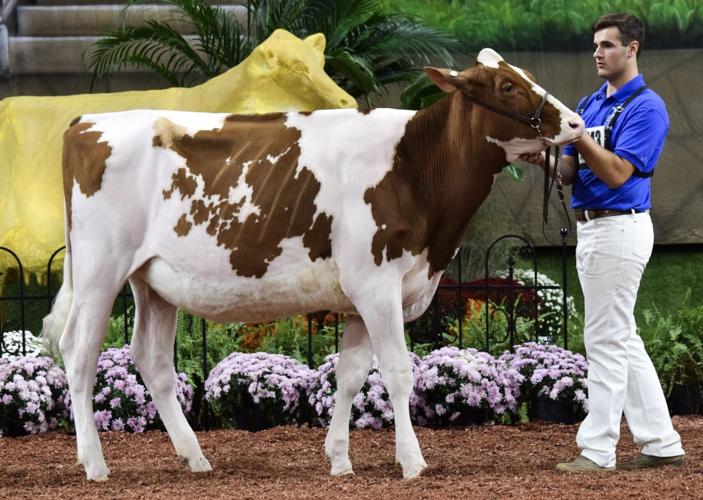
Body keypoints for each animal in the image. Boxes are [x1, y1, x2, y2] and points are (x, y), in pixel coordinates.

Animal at [42, 48, 584, 481]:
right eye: (507, 86)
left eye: (525, 76)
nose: (577, 124)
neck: (412, 168)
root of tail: (88, 121)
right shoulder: (377, 285)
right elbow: (396, 373)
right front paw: (411, 462)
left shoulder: (361, 297)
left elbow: (350, 376)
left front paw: (339, 459)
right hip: (99, 271)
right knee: (79, 353)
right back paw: (95, 464)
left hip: (152, 281)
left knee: (152, 361)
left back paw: (194, 457)